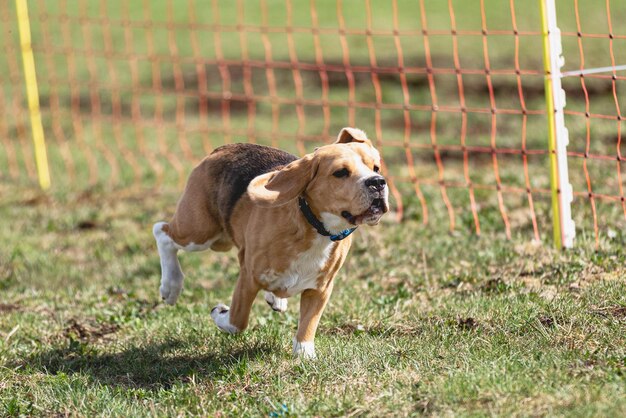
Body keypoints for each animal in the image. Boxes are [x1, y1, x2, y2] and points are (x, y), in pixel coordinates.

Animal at [151, 126, 386, 356]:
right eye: (340, 173)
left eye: (376, 168)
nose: (378, 183)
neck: (315, 227)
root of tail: (222, 148)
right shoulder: (248, 278)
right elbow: (237, 321)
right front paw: (219, 314)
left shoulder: (320, 288)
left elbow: (308, 324)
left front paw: (304, 354)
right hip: (200, 231)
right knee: (162, 232)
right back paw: (171, 286)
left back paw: (276, 298)